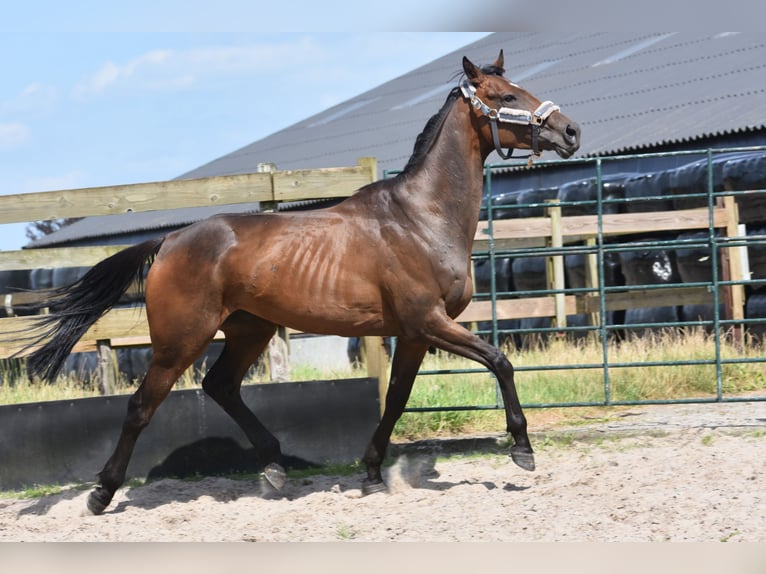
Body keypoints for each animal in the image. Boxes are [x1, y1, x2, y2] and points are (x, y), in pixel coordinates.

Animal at [18, 51, 584, 516]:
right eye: (507, 96)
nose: (570, 131)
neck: (419, 218)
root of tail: (172, 239)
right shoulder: (429, 321)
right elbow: (500, 361)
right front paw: (522, 450)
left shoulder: (414, 334)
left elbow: (396, 398)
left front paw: (372, 472)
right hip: (181, 339)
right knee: (141, 406)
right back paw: (101, 493)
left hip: (250, 330)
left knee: (219, 386)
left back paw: (272, 467)